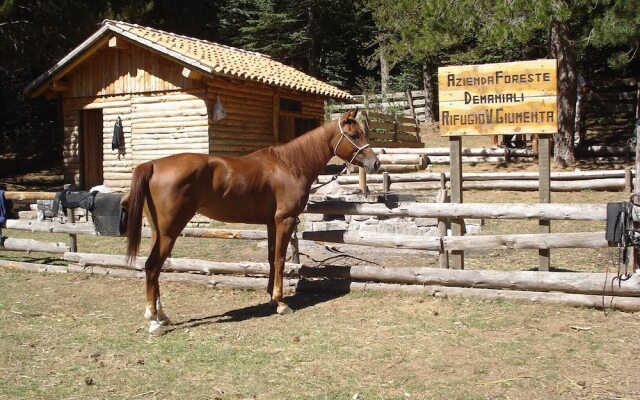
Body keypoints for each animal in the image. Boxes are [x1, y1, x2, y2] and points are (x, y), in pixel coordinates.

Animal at [122, 108, 378, 334]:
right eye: (355, 135)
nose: (375, 163)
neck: (290, 164)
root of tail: (153, 164)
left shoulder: (271, 223)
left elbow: (272, 258)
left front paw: (271, 297)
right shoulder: (285, 221)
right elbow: (280, 260)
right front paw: (281, 303)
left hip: (158, 232)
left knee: (154, 269)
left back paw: (161, 315)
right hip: (169, 232)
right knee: (152, 267)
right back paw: (154, 322)